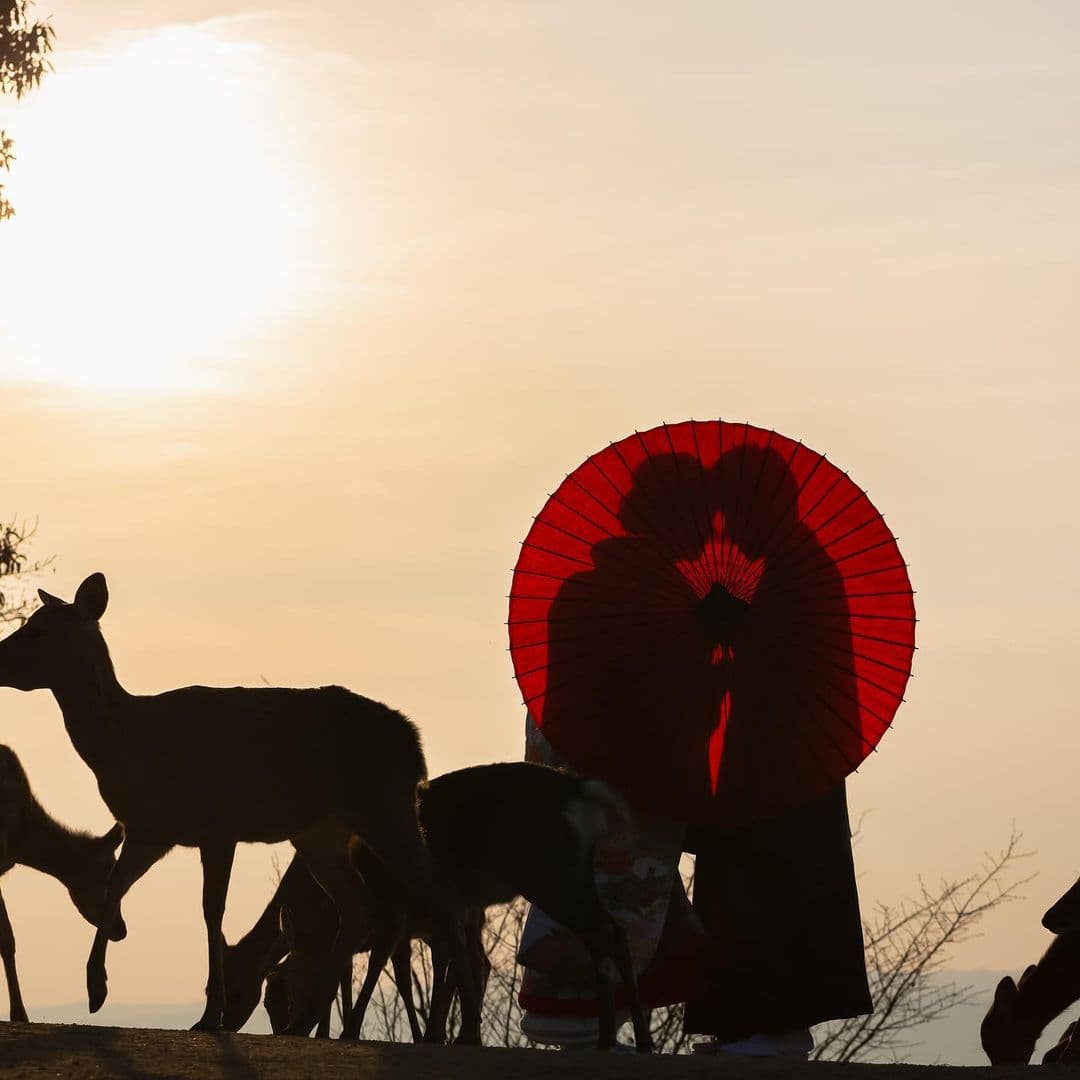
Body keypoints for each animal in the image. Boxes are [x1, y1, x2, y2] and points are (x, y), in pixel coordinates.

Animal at [270, 762, 654, 1052]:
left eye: (288, 984)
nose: (287, 1027)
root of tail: (577, 790)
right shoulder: (443, 910)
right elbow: (452, 960)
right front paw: (455, 1034)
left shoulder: (397, 905)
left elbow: (383, 964)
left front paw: (352, 1030)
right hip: (575, 874)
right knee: (609, 933)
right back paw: (619, 1039)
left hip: (548, 874)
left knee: (604, 932)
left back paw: (628, 1038)